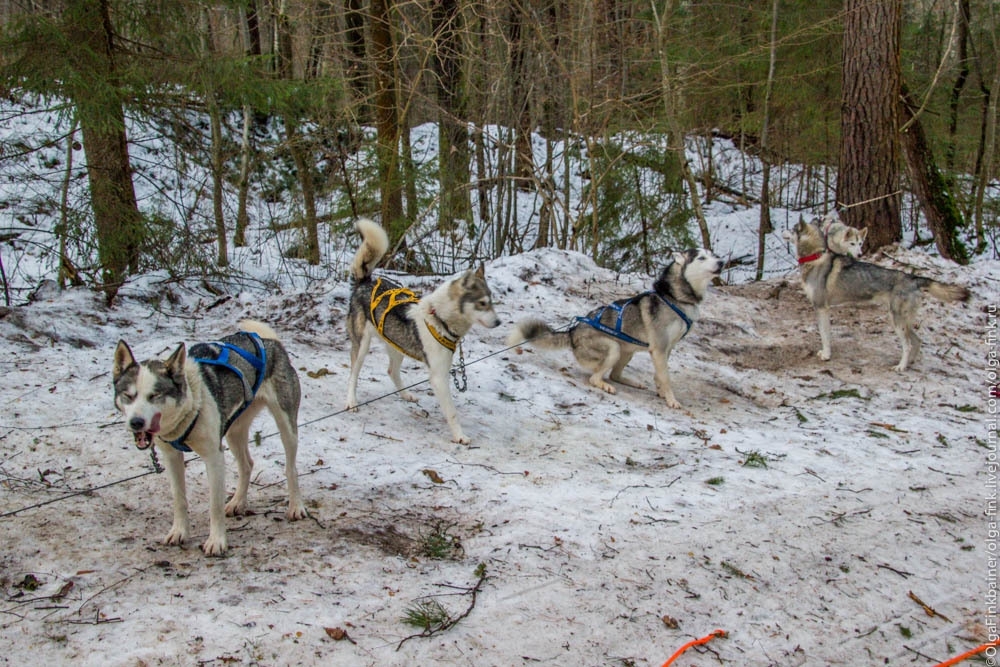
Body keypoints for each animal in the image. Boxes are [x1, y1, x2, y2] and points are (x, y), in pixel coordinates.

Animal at [112, 320, 304, 556]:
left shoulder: (214, 457)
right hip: (233, 431)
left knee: (290, 468)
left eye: (154, 395)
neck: (191, 405)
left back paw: (296, 506)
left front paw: (216, 541)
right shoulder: (172, 456)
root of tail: (269, 342)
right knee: (247, 464)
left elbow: (214, 505)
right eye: (128, 396)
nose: (136, 422)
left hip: (286, 426)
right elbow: (179, 498)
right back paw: (237, 502)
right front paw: (179, 532)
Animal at [346, 219, 500, 446]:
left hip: (396, 343)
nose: (498, 322)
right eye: (482, 303)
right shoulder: (439, 377)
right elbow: (452, 413)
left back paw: (406, 395)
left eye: (491, 302)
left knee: (391, 371)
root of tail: (366, 282)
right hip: (362, 345)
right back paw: (351, 401)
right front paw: (460, 436)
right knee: (353, 374)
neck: (440, 319)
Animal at [508, 248, 720, 410]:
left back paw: (630, 382)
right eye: (701, 258)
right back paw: (604, 385)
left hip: (627, 351)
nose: (722, 262)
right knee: (595, 378)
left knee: (614, 375)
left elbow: (660, 376)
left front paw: (660, 392)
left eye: (713, 254)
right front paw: (671, 400)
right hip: (613, 349)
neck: (675, 298)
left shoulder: (668, 348)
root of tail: (573, 332)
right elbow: (666, 378)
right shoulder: (659, 348)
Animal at [780, 220, 968, 374]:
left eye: (792, 229)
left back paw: (900, 367)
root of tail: (912, 278)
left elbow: (825, 335)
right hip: (902, 321)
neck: (815, 257)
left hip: (896, 321)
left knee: (907, 345)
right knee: (917, 341)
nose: (782, 230)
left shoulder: (821, 308)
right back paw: (909, 363)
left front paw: (826, 355)